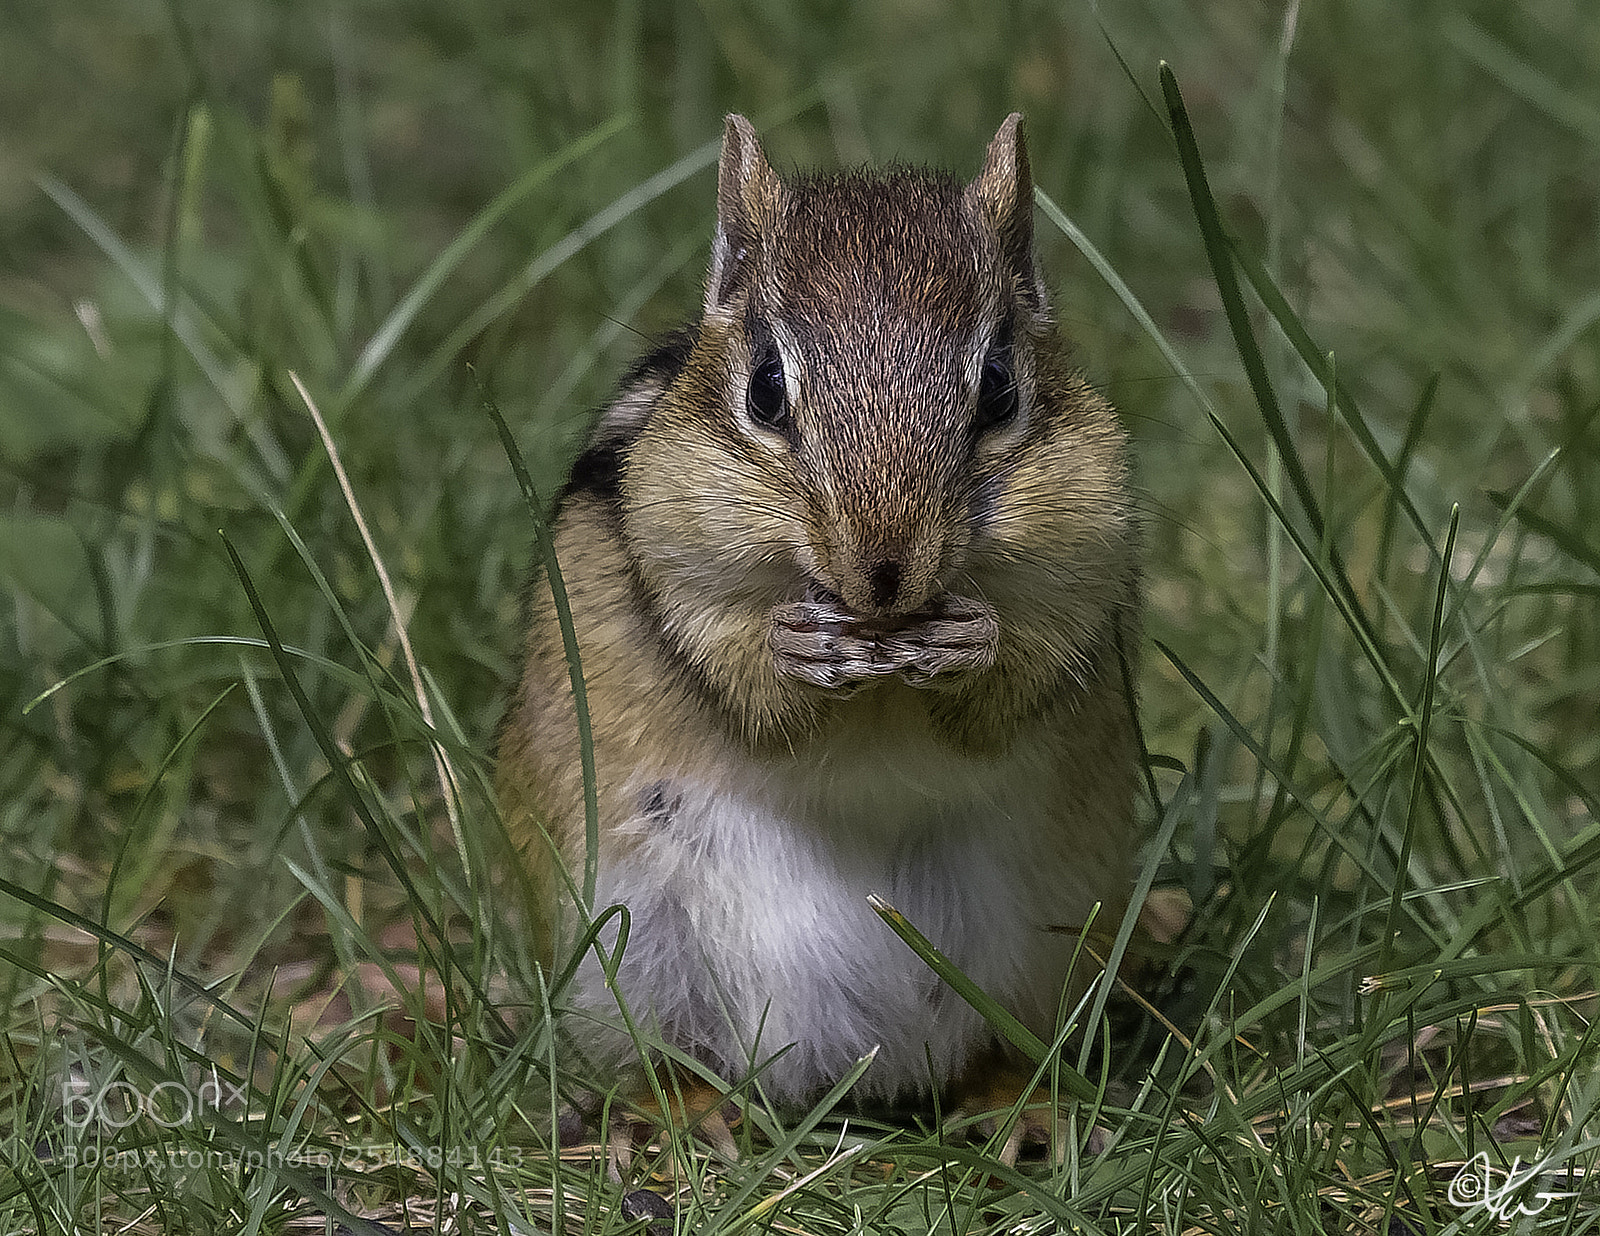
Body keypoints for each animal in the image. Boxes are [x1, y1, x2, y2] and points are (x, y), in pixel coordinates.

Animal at [497, 113, 1143, 1164]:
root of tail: (862, 1063)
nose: (882, 577)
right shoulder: (665, 550)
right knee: (670, 1050)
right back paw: (682, 1115)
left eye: (1000, 388)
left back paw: (1022, 1110)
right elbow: (742, 677)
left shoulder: (1088, 551)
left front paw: (972, 640)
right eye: (766, 389)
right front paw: (792, 647)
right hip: (623, 940)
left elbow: (1018, 678)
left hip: (1051, 931)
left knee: (994, 1045)